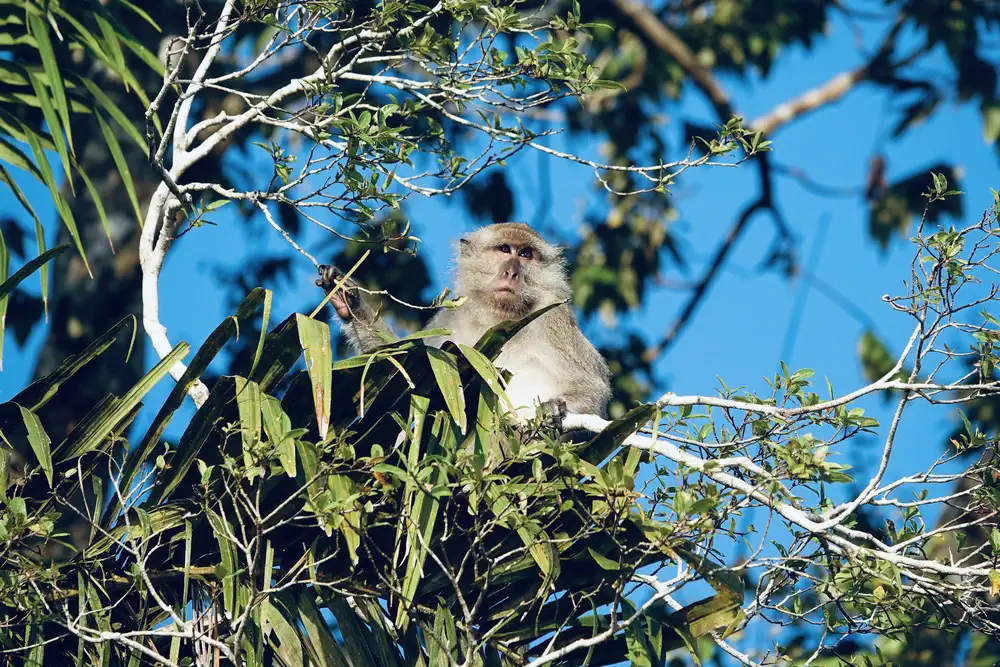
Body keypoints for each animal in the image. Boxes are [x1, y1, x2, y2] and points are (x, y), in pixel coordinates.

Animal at [316, 222, 611, 425]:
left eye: (526, 254)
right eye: (505, 249)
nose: (512, 272)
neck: (499, 316)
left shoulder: (553, 315)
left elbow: (592, 385)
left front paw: (555, 408)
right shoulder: (452, 316)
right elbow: (401, 365)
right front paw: (347, 300)